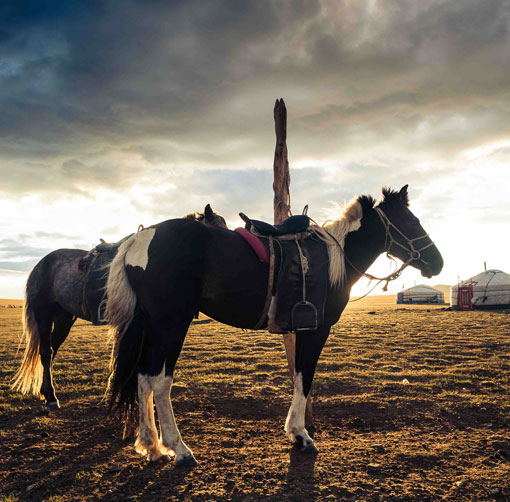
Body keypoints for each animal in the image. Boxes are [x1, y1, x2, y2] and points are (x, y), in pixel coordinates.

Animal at [11, 204, 226, 408]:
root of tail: (40, 264)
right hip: (43, 315)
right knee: (45, 353)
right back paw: (50, 397)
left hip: (64, 319)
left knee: (51, 350)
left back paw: (46, 392)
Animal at [106, 186, 442, 468]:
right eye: (411, 220)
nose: (437, 262)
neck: (335, 258)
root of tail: (138, 239)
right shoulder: (316, 330)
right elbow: (304, 378)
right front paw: (300, 435)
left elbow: (298, 377)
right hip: (171, 325)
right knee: (159, 381)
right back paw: (179, 449)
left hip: (153, 326)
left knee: (142, 378)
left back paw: (151, 447)